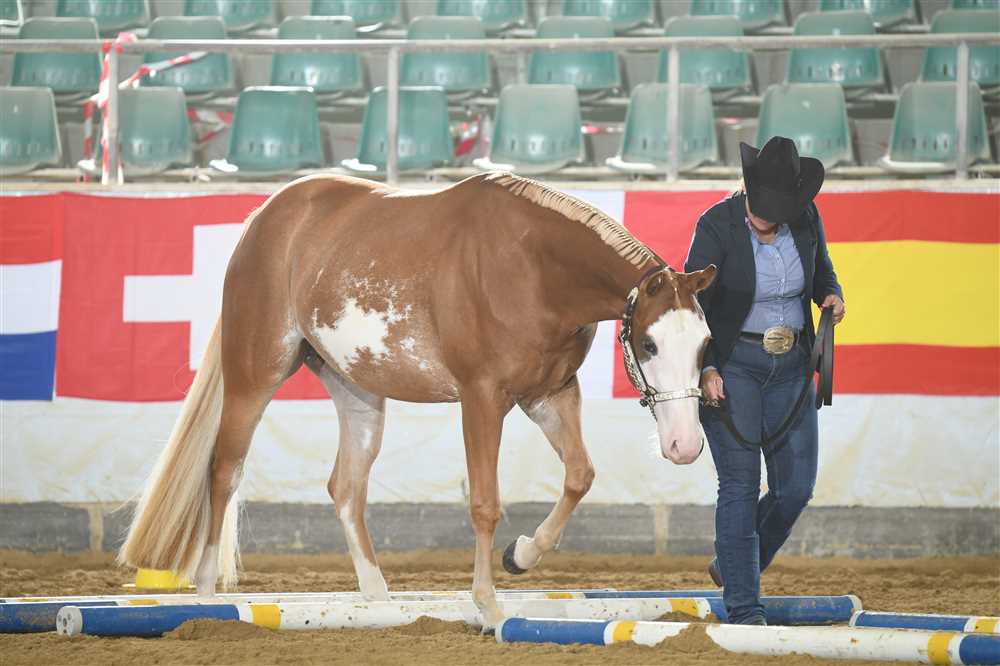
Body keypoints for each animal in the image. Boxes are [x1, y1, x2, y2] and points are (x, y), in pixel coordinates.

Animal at [118, 171, 716, 628]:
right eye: (649, 343)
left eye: (705, 342)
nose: (685, 445)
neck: (532, 266)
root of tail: (265, 217)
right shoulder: (481, 399)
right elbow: (484, 503)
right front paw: (489, 607)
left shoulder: (549, 394)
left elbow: (579, 476)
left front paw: (521, 555)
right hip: (254, 375)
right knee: (224, 471)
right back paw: (206, 596)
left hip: (357, 391)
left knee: (345, 488)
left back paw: (378, 600)